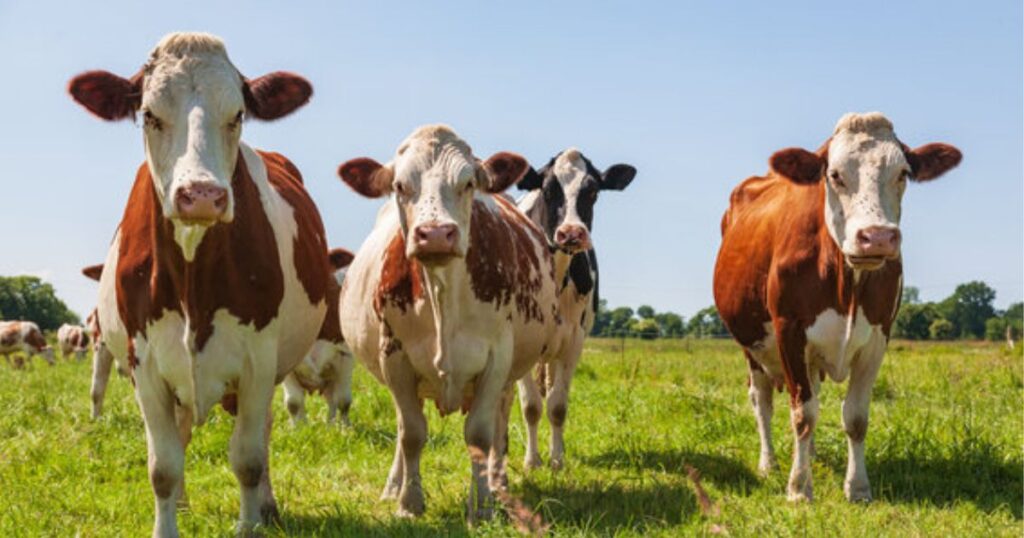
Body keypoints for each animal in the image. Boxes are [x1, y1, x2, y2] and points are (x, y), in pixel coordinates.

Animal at [68, 32, 329, 536]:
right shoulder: (145, 365)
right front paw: (167, 524)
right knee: (183, 431)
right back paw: (187, 504)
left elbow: (248, 457)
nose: (202, 195)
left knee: (261, 433)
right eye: (150, 114)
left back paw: (267, 506)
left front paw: (250, 524)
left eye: (238, 114)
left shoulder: (257, 361)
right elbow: (163, 466)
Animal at [281, 247, 357, 425]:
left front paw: (344, 428)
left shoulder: (345, 356)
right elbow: (293, 402)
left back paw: (331, 424)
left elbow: (344, 400)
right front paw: (299, 428)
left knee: (332, 400)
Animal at [336, 125, 561, 522]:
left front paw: (482, 506)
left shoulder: (496, 360)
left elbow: (480, 435)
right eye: (399, 185)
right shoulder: (394, 358)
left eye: (469, 183)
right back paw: (392, 486)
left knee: (499, 425)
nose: (436, 234)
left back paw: (498, 483)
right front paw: (408, 503)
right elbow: (411, 433)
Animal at [514, 148, 636, 470]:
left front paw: (557, 459)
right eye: (547, 189)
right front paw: (531, 461)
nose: (571, 233)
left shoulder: (573, 341)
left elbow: (557, 406)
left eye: (592, 191)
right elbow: (531, 406)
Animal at [713, 112, 961, 502]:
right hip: (750, 344)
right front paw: (799, 488)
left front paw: (857, 487)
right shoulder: (789, 331)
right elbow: (802, 414)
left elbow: (855, 417)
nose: (877, 237)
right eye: (835, 174)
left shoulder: (878, 338)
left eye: (903, 174)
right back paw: (769, 464)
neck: (848, 281)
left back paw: (811, 454)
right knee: (762, 400)